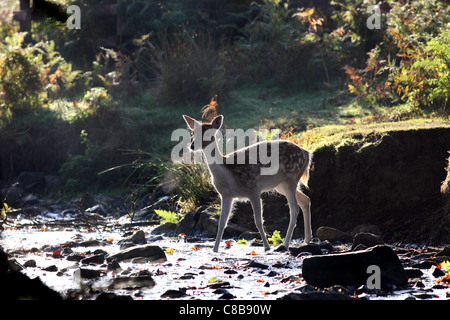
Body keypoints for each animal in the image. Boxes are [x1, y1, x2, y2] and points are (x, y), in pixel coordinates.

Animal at [181, 115, 312, 252]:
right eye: (193, 133)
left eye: (209, 133)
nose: (192, 145)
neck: (228, 174)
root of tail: (307, 154)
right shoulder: (226, 195)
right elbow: (222, 223)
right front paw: (215, 250)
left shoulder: (253, 188)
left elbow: (258, 221)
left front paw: (267, 247)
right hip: (281, 185)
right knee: (305, 200)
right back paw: (307, 239)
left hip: (291, 178)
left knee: (294, 209)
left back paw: (285, 245)